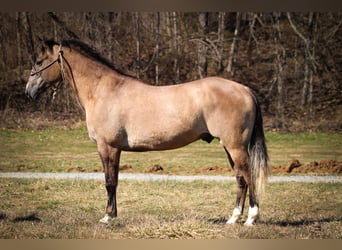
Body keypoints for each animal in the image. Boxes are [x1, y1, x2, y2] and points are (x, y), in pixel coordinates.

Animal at [25, 40, 268, 226]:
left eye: (39, 61)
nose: (29, 91)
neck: (104, 91)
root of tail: (245, 89)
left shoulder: (107, 147)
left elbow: (109, 181)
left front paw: (107, 217)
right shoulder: (115, 149)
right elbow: (114, 180)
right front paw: (112, 214)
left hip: (235, 146)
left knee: (248, 175)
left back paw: (251, 219)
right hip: (229, 146)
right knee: (240, 178)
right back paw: (233, 218)